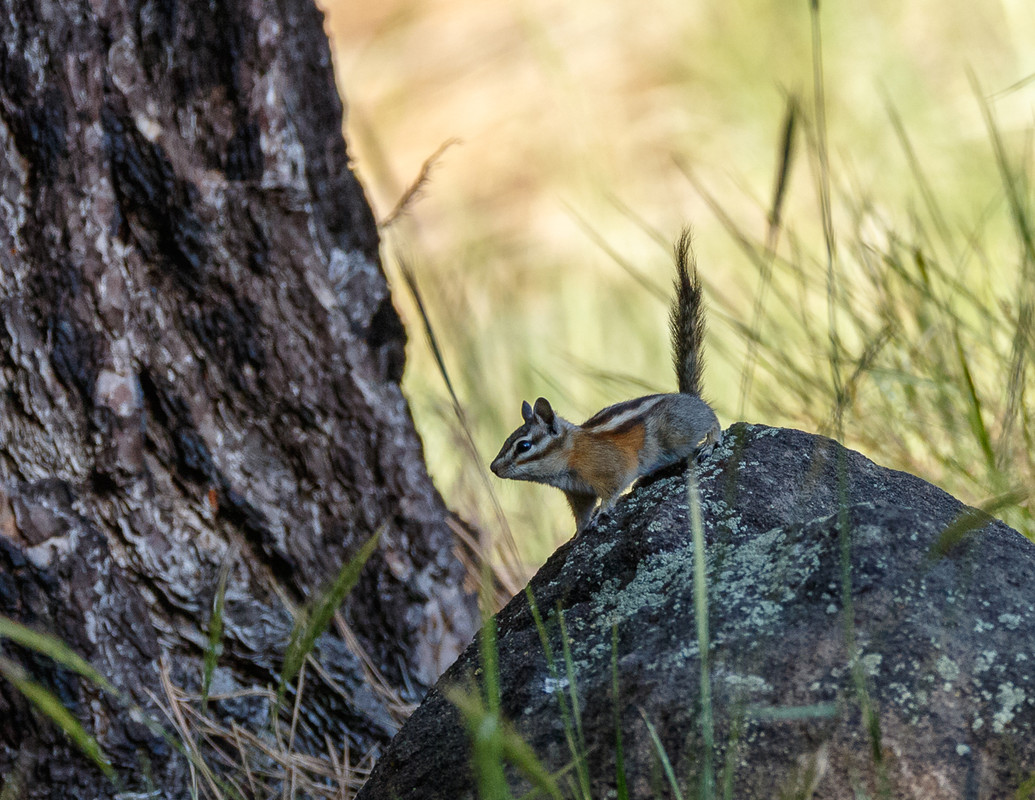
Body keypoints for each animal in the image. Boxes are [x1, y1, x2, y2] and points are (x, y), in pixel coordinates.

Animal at [490, 228, 722, 533]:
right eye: (507, 439)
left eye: (524, 446)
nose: (493, 468)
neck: (572, 454)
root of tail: (688, 397)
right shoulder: (577, 493)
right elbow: (581, 513)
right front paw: (578, 533)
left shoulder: (611, 470)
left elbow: (611, 491)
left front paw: (604, 510)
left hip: (678, 431)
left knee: (711, 417)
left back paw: (710, 442)